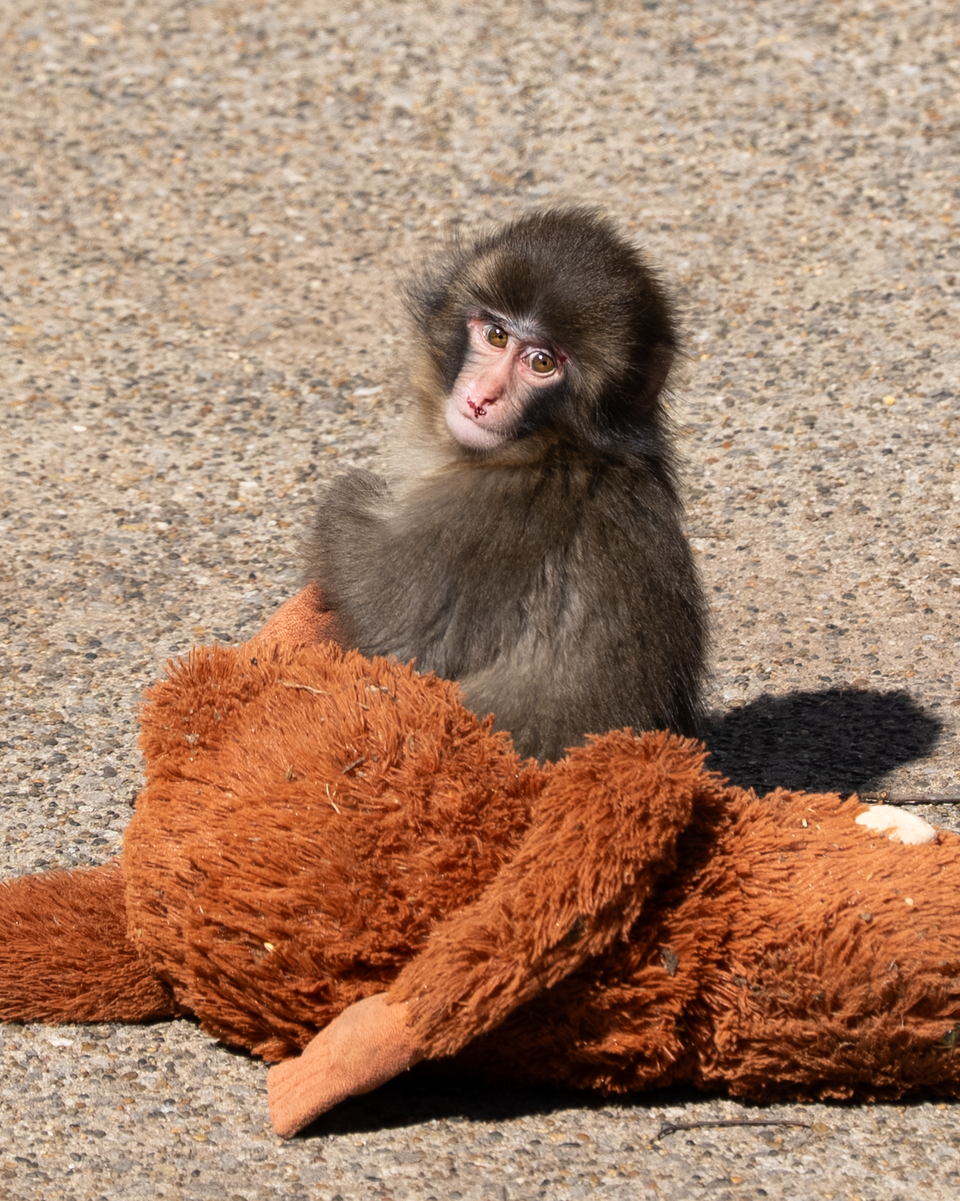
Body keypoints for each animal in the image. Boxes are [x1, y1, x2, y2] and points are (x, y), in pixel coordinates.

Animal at [304, 208, 707, 763]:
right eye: (496, 335)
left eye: (542, 362)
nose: (481, 398)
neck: (557, 447)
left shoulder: (479, 519)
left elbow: (390, 637)